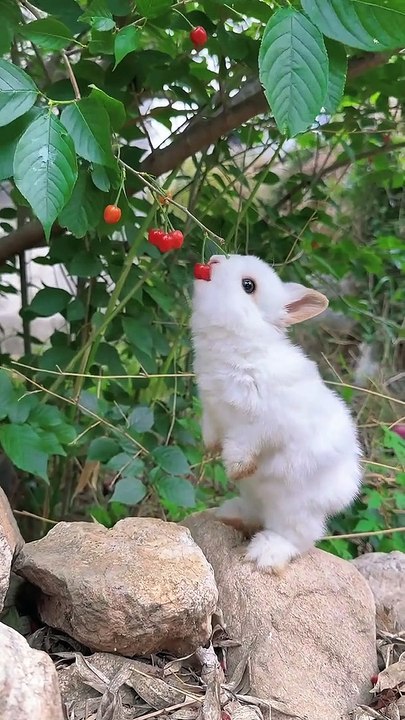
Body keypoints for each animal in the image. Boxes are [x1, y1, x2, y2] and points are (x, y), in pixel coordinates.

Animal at [191, 253, 362, 572]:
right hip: (255, 494)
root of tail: (345, 493)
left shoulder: (261, 424)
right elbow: (211, 431)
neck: (242, 345)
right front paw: (209, 448)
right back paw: (231, 515)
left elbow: (245, 445)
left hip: (295, 507)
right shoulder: (211, 409)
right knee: (257, 514)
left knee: (299, 537)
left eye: (248, 285)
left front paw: (236, 467)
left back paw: (266, 555)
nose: (213, 260)